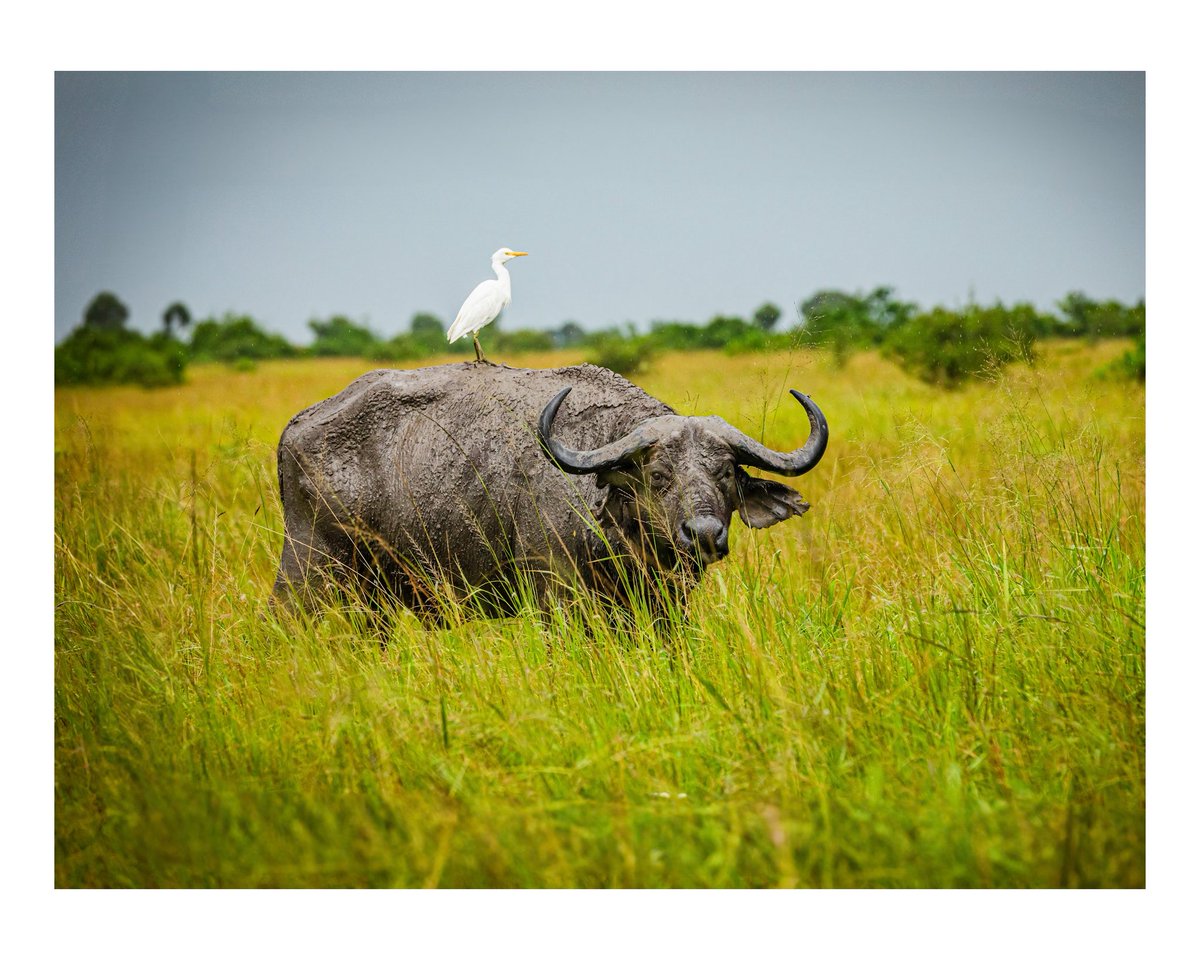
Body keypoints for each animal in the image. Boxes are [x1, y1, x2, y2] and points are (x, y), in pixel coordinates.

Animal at [272, 362, 828, 623]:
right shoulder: (554, 599)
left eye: (727, 474)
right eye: (658, 476)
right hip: (308, 575)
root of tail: (295, 428)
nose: (704, 534)